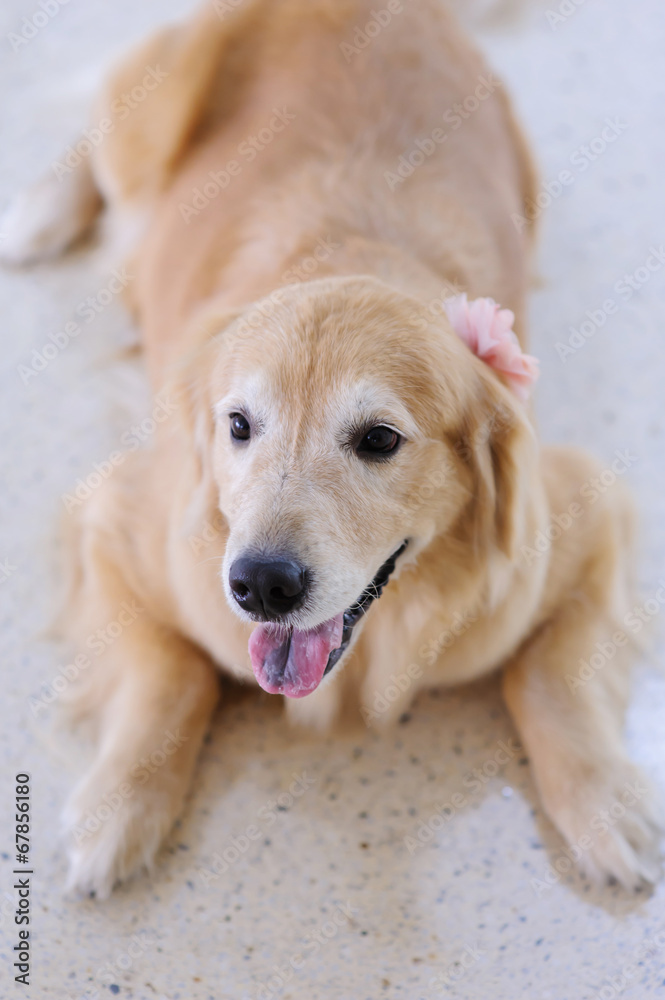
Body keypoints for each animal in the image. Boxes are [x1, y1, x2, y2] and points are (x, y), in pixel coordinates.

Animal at [3, 0, 660, 900]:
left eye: (379, 439)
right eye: (238, 425)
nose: (259, 586)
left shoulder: (583, 513)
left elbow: (549, 671)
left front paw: (602, 805)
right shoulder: (117, 517)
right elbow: (169, 673)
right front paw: (118, 808)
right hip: (150, 115)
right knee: (100, 119)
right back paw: (38, 213)